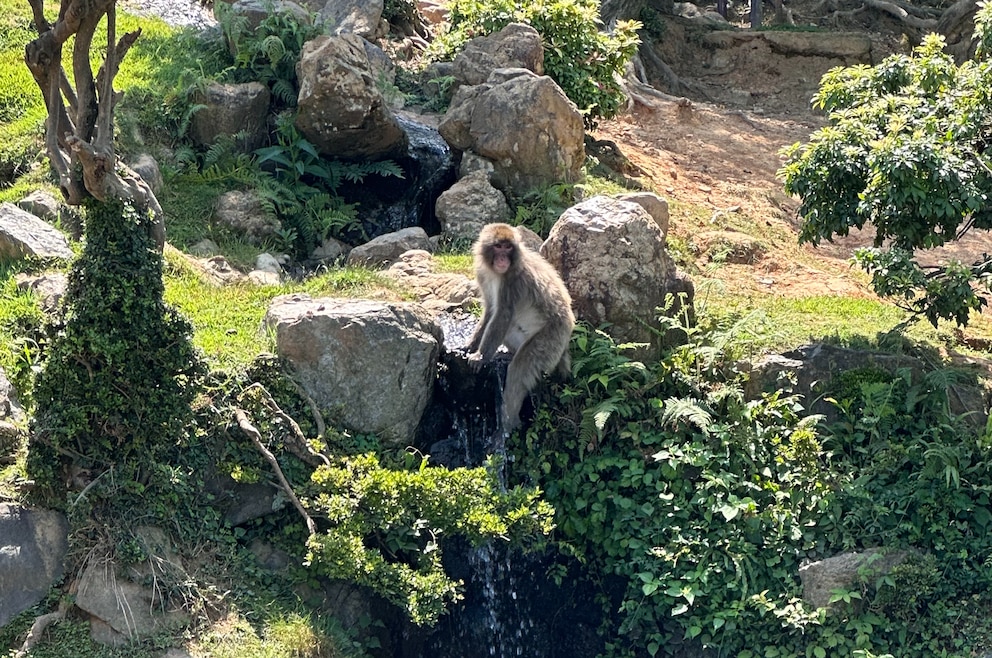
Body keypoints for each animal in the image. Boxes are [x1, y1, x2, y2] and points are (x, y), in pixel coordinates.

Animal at [468, 223, 576, 434]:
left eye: (508, 248)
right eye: (498, 246)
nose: (503, 259)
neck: (497, 273)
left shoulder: (513, 281)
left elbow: (502, 315)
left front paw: (480, 356)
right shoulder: (482, 274)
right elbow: (491, 311)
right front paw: (470, 345)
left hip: (551, 339)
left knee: (519, 369)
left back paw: (509, 424)